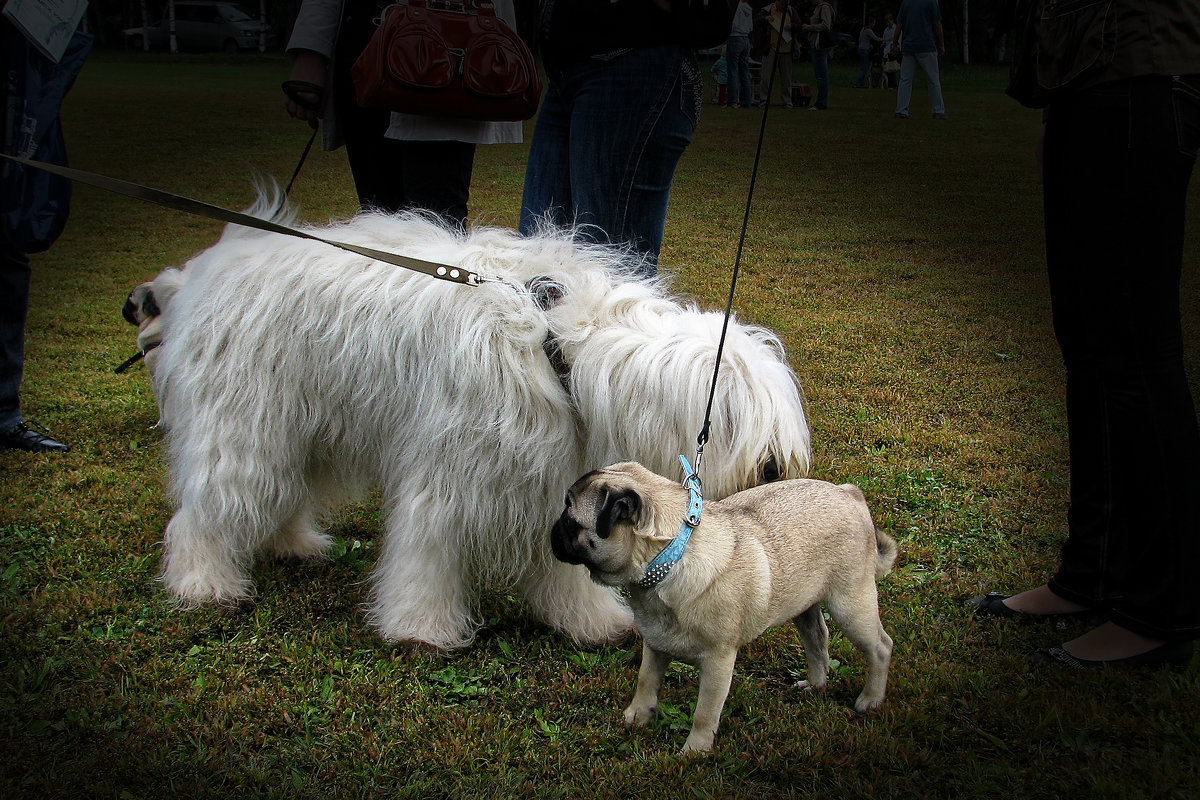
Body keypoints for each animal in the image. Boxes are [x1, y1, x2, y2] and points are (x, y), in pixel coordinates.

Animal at [145, 196, 811, 652]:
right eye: (735, 420)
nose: (773, 469)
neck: (559, 349)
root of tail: (212, 263)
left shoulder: (549, 478)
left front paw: (590, 621)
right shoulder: (450, 471)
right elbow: (430, 552)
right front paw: (422, 629)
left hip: (300, 426)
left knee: (285, 490)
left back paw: (293, 544)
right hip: (242, 424)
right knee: (212, 506)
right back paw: (203, 584)